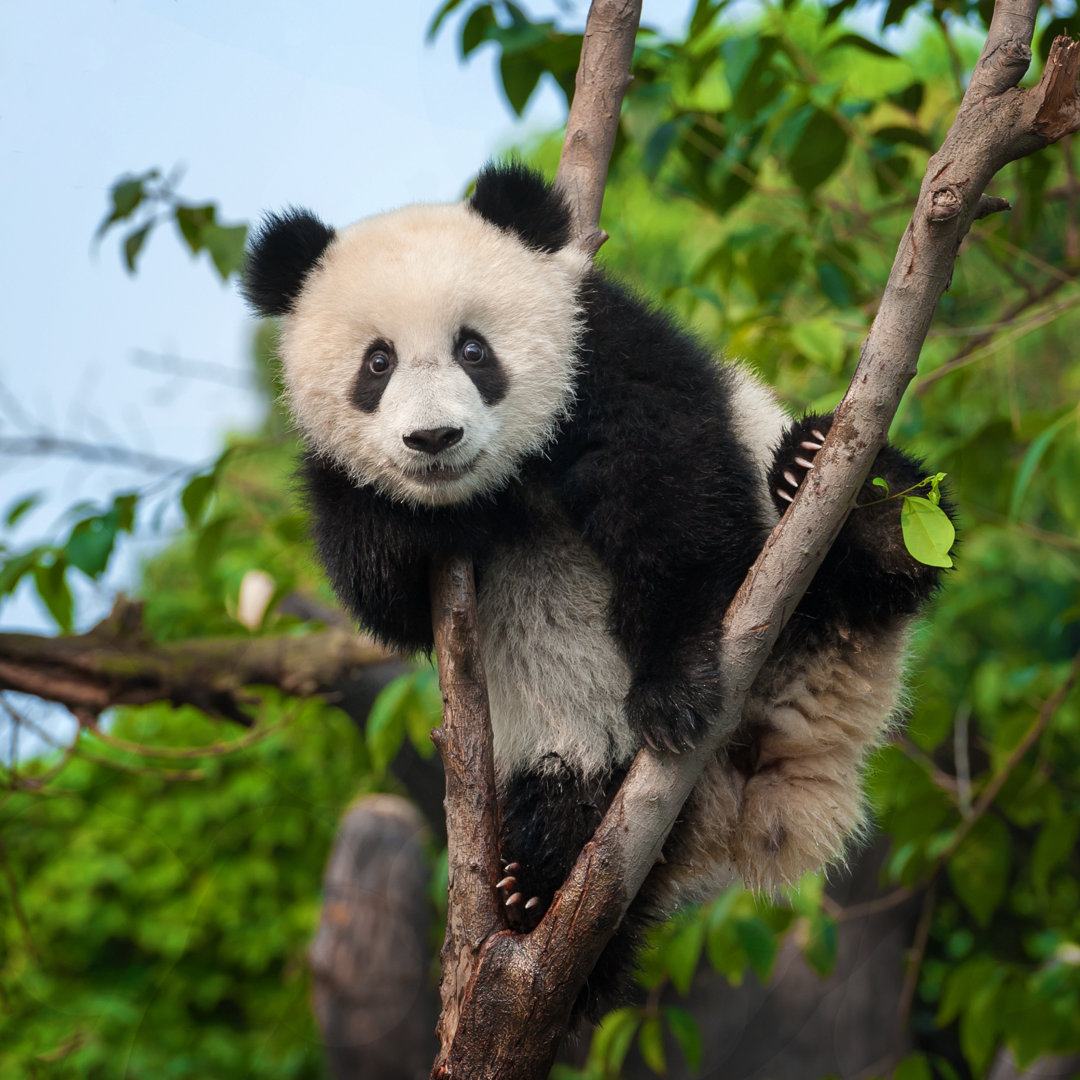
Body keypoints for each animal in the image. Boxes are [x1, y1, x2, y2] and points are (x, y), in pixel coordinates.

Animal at [243, 164, 946, 1006]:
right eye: (376, 364)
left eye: (474, 349)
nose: (434, 439)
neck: (504, 480)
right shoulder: (342, 484)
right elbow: (386, 591)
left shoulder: (604, 353)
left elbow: (672, 498)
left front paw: (673, 690)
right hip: (571, 755)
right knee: (574, 800)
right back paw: (540, 882)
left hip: (813, 594)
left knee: (872, 551)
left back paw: (839, 488)